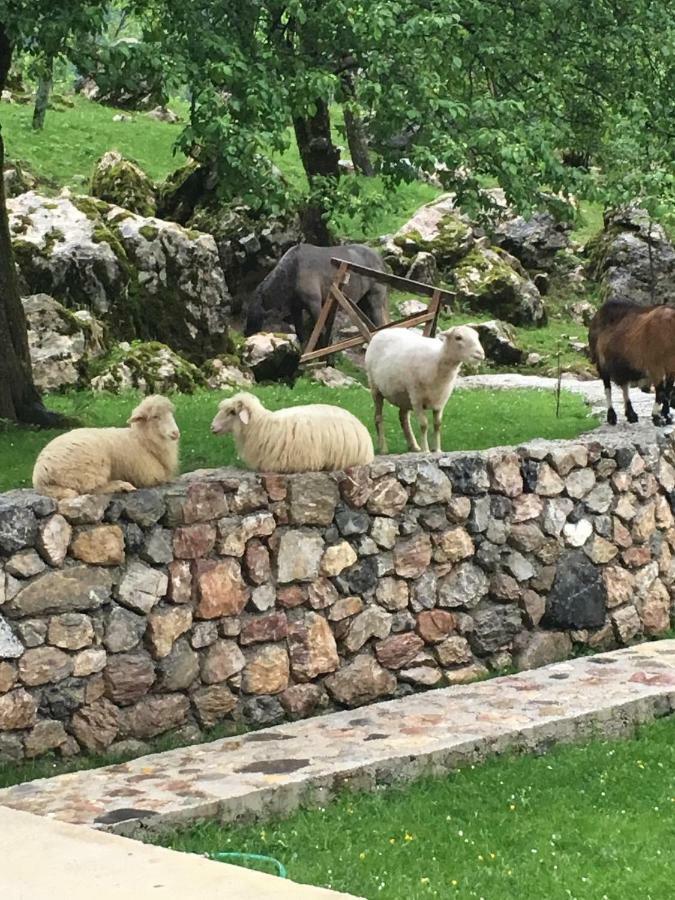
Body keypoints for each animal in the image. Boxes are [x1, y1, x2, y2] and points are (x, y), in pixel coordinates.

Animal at [33, 398, 181, 502]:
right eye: (155, 416)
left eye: (171, 413)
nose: (176, 433)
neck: (141, 440)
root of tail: (40, 474)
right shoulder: (149, 475)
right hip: (92, 465)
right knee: (90, 489)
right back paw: (121, 486)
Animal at [368, 326, 484, 458]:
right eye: (458, 337)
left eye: (477, 336)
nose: (480, 354)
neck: (436, 361)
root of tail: (385, 330)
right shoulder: (417, 399)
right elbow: (424, 425)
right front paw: (426, 450)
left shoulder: (440, 400)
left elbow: (437, 424)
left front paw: (437, 450)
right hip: (376, 388)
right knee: (378, 417)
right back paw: (383, 448)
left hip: (404, 397)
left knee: (403, 418)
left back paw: (414, 446)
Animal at [588, 300, 672, 428]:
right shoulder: (655, 364)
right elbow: (661, 391)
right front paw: (657, 417)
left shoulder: (671, 366)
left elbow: (668, 390)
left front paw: (666, 416)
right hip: (601, 362)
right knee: (608, 388)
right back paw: (611, 416)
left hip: (623, 364)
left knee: (624, 386)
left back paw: (631, 414)